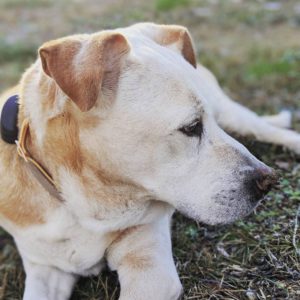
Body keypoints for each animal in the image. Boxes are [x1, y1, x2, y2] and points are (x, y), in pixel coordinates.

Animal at [1, 23, 298, 300]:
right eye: (191, 127)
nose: (267, 181)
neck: (87, 204)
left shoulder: (148, 264)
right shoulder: (46, 267)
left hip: (234, 114)